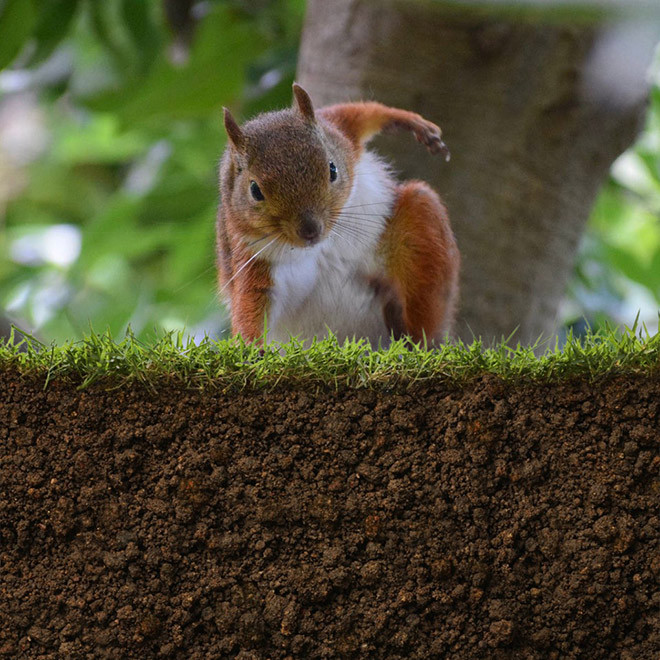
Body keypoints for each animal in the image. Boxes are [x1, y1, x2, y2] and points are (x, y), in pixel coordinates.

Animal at [217, 82, 458, 346]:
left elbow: (359, 114)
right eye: (255, 190)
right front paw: (251, 348)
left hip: (420, 228)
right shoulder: (252, 259)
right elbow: (251, 304)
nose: (310, 230)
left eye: (332, 169)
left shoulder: (338, 131)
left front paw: (411, 122)